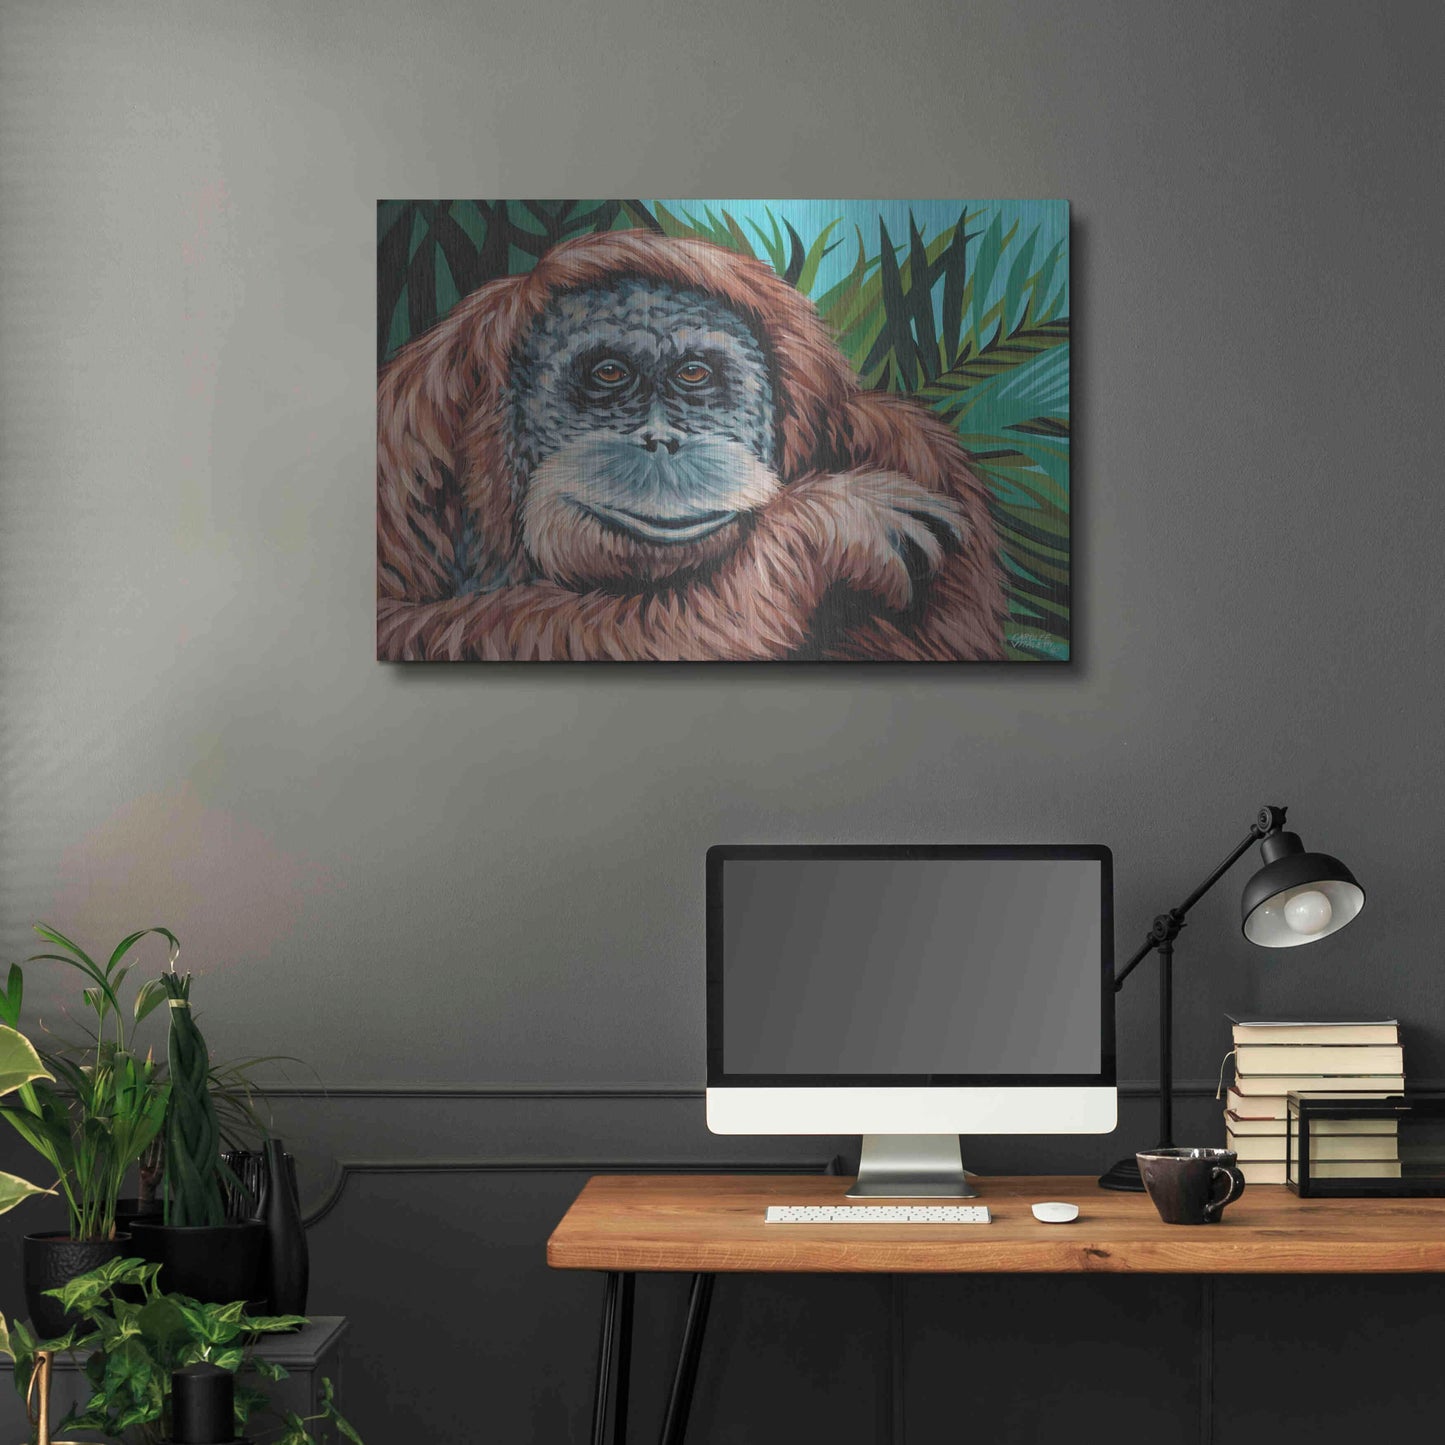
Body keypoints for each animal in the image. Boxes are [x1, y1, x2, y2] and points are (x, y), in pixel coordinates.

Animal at [377, 230, 1008, 661]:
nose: (661, 442)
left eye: (694, 375)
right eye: (609, 375)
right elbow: (403, 627)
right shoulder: (404, 442)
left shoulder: (914, 446)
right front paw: (825, 525)